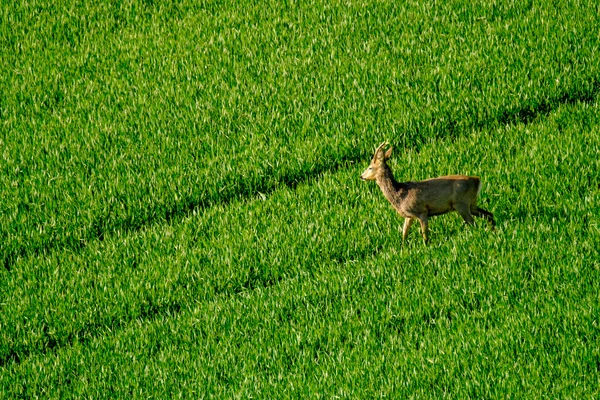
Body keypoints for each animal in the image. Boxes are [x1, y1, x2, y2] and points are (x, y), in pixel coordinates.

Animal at [358, 142, 494, 242]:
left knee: (473, 223)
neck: (400, 194)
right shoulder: (409, 216)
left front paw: (426, 247)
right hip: (472, 203)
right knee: (489, 214)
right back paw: (492, 230)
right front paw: (403, 249)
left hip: (461, 204)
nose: (361, 176)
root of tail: (477, 180)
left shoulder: (421, 211)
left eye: (370, 167)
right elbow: (404, 234)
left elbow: (425, 235)